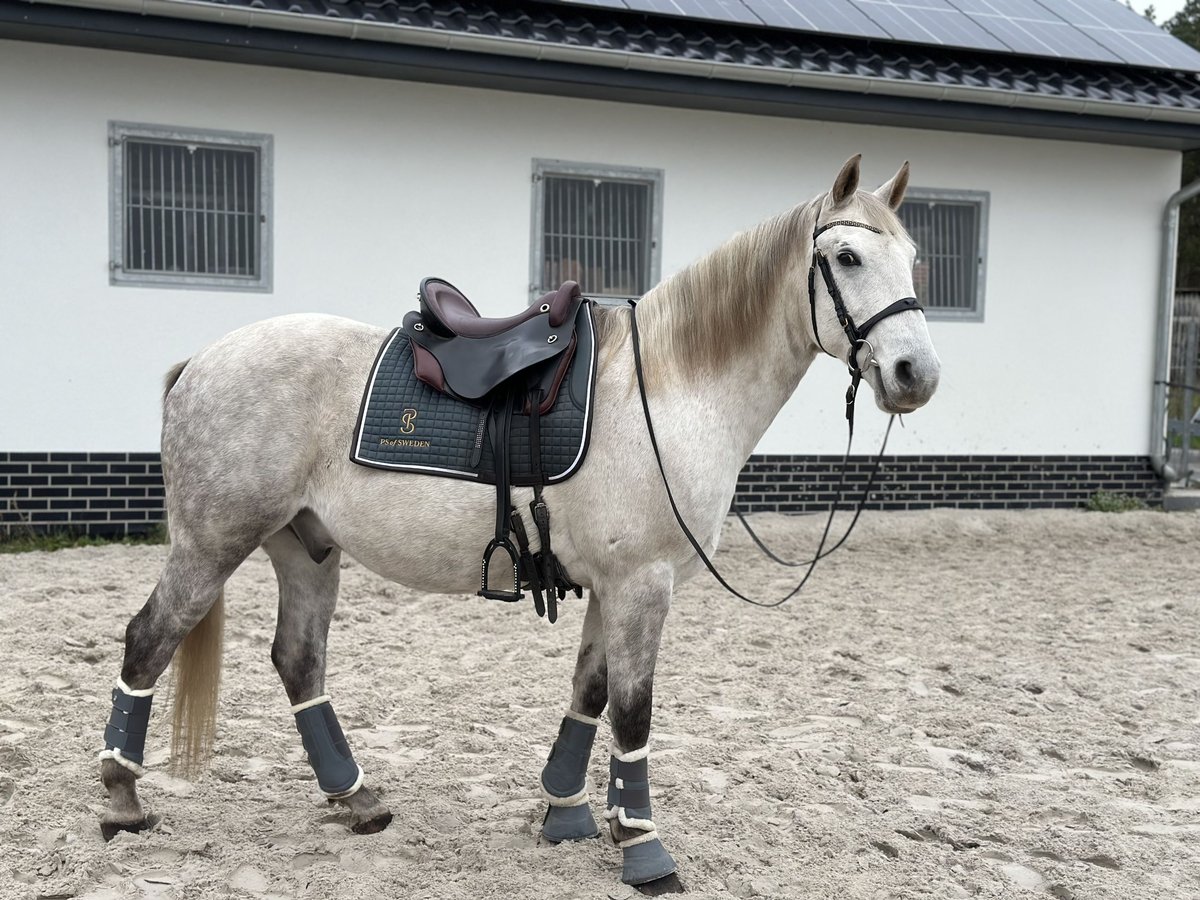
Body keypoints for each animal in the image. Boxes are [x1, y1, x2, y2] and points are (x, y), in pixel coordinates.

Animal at [96, 157, 936, 897]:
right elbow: (633, 708)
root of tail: (201, 360)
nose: (916, 375)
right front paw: (644, 849)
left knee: (298, 661)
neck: (670, 388)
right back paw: (122, 801)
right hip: (214, 543)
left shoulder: (613, 586)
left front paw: (567, 813)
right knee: (150, 639)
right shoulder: (644, 584)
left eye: (914, 260)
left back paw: (357, 799)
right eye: (848, 256)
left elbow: (590, 691)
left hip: (305, 546)